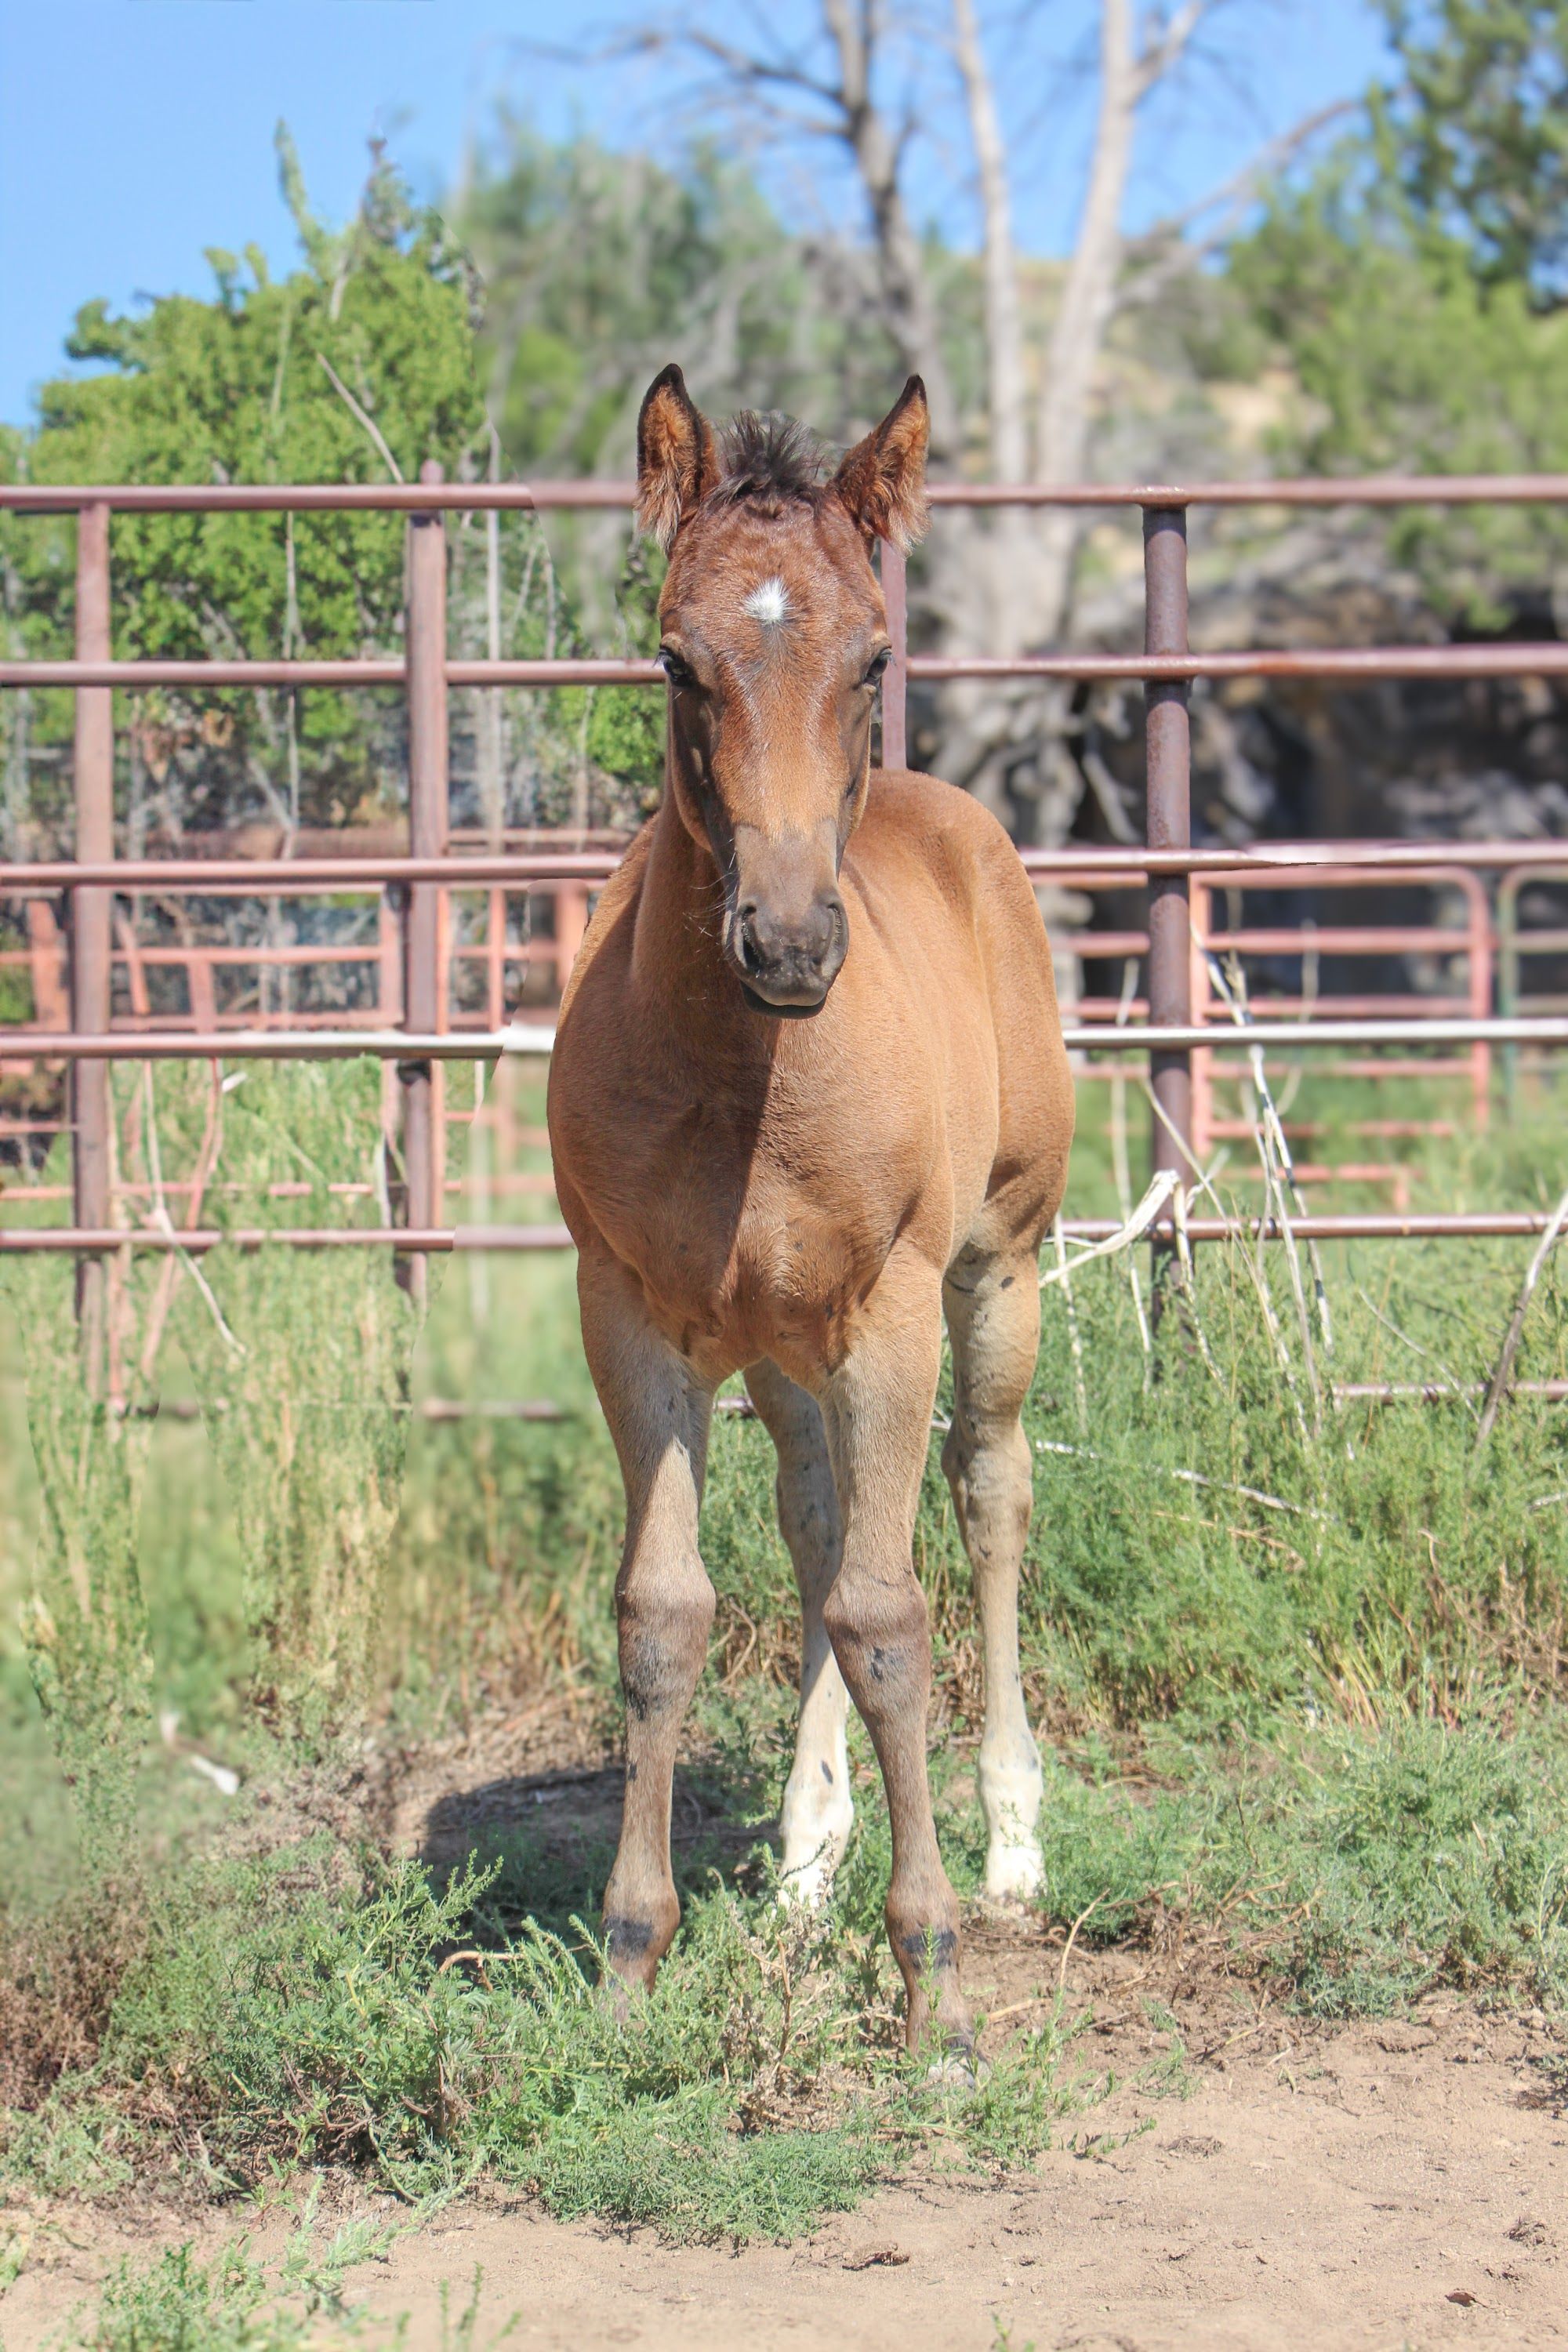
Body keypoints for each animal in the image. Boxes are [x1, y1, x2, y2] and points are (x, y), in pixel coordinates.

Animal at [547, 365, 1074, 2060]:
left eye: (876, 656)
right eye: (673, 657)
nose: (786, 942)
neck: (744, 1077)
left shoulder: (894, 1308)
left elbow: (892, 1618)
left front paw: (935, 1983)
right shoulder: (626, 1313)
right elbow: (665, 1615)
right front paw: (630, 1961)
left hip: (999, 1269)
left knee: (986, 1495)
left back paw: (1015, 1837)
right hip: (781, 1348)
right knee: (822, 1518)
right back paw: (806, 1850)